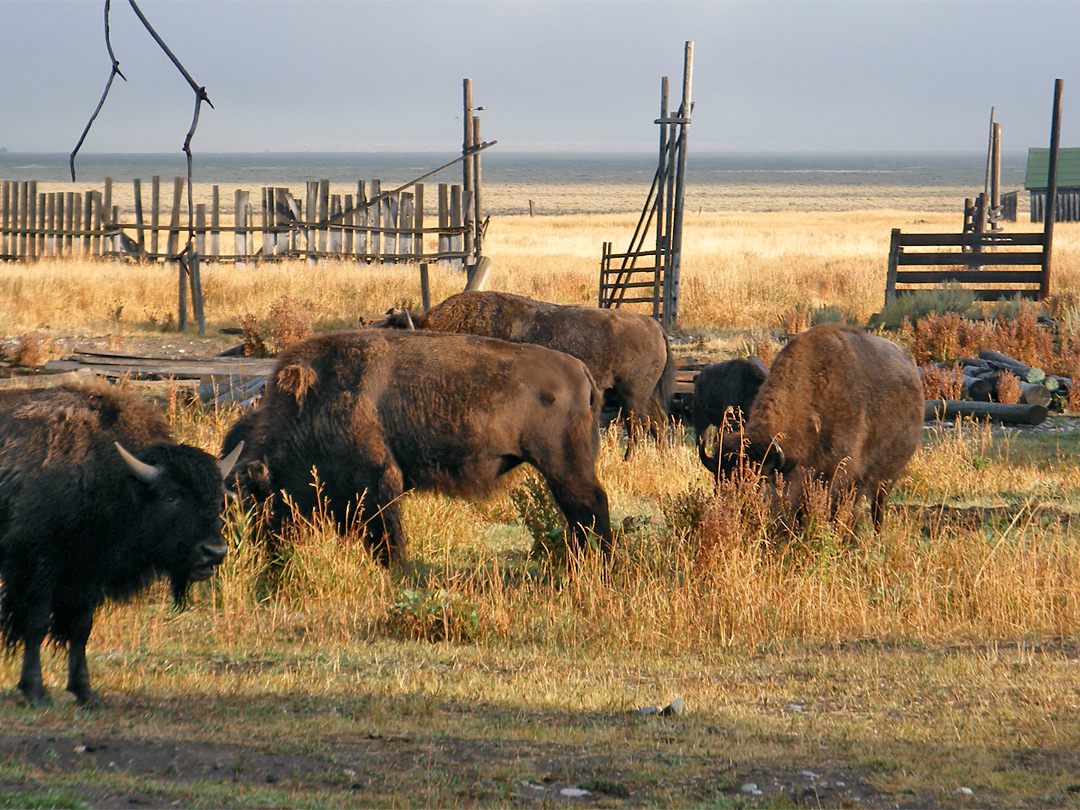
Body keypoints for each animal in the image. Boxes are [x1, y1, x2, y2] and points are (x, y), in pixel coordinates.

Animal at [0, 384, 240, 708]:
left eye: (217, 498)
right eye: (170, 497)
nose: (214, 552)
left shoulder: (87, 574)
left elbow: (81, 629)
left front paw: (87, 693)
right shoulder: (36, 566)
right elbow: (35, 625)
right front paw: (36, 692)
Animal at [223, 328, 613, 565]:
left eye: (249, 504)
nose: (241, 553)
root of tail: (581, 370)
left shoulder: (378, 481)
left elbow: (387, 535)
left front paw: (395, 568)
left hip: (563, 465)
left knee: (590, 505)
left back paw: (598, 562)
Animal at [386, 291, 673, 453]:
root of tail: (655, 326)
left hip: (632, 396)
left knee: (638, 428)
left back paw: (629, 461)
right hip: (645, 396)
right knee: (658, 423)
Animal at [699, 324, 920, 533]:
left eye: (760, 483)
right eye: (719, 482)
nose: (733, 515)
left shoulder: (839, 475)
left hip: (887, 476)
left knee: (878, 504)